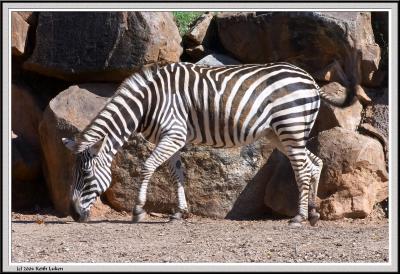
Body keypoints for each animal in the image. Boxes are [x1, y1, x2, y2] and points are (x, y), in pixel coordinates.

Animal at [61, 61, 352, 227]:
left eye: (86, 176)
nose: (74, 215)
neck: (147, 103)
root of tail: (310, 79)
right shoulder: (173, 139)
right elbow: (176, 174)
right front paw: (179, 214)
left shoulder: (174, 134)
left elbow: (147, 167)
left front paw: (138, 210)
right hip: (280, 134)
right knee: (314, 164)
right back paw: (312, 214)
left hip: (290, 127)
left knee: (302, 169)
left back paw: (299, 218)